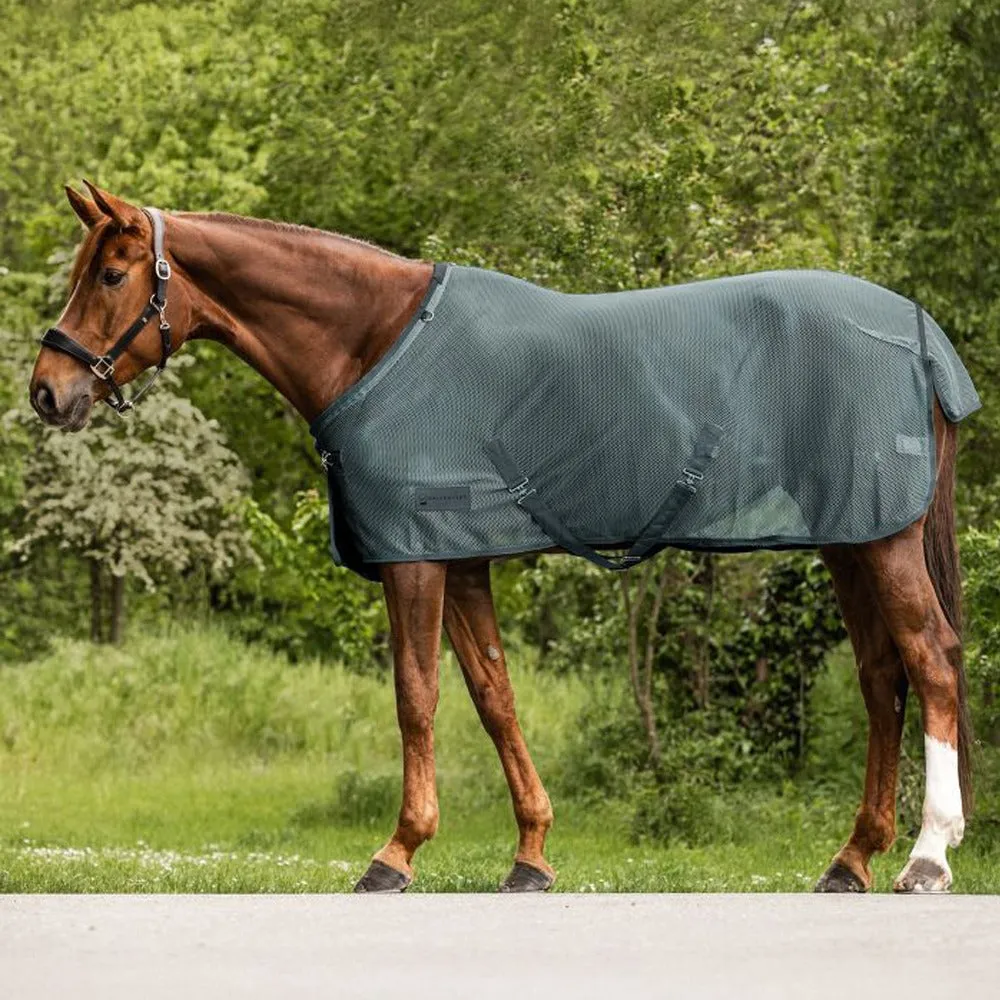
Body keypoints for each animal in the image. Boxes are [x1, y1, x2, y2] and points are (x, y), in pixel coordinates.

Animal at [29, 182, 974, 894]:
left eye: (110, 273)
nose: (46, 390)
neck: (377, 343)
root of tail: (920, 335)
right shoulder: (464, 560)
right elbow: (494, 696)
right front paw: (531, 855)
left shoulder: (415, 559)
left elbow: (416, 697)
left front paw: (397, 853)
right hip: (852, 538)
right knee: (881, 676)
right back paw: (851, 860)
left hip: (882, 541)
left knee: (929, 659)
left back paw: (927, 856)